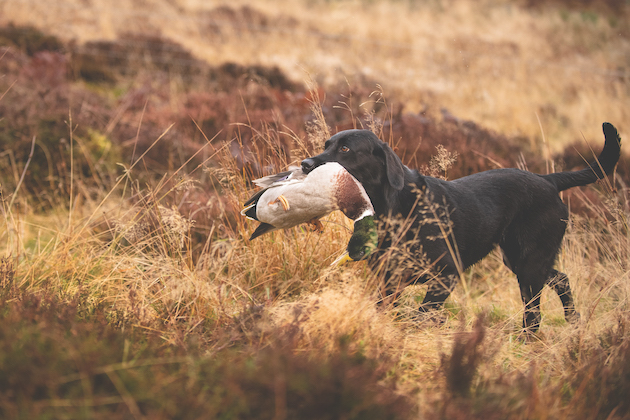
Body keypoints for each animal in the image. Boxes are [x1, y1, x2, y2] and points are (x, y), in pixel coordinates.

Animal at [304, 123, 624, 330]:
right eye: (326, 145)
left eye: (345, 148)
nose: (306, 164)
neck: (394, 207)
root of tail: (548, 181)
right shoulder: (389, 279)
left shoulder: (446, 274)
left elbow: (422, 314)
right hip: (521, 260)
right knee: (561, 280)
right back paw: (573, 321)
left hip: (529, 263)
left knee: (534, 314)